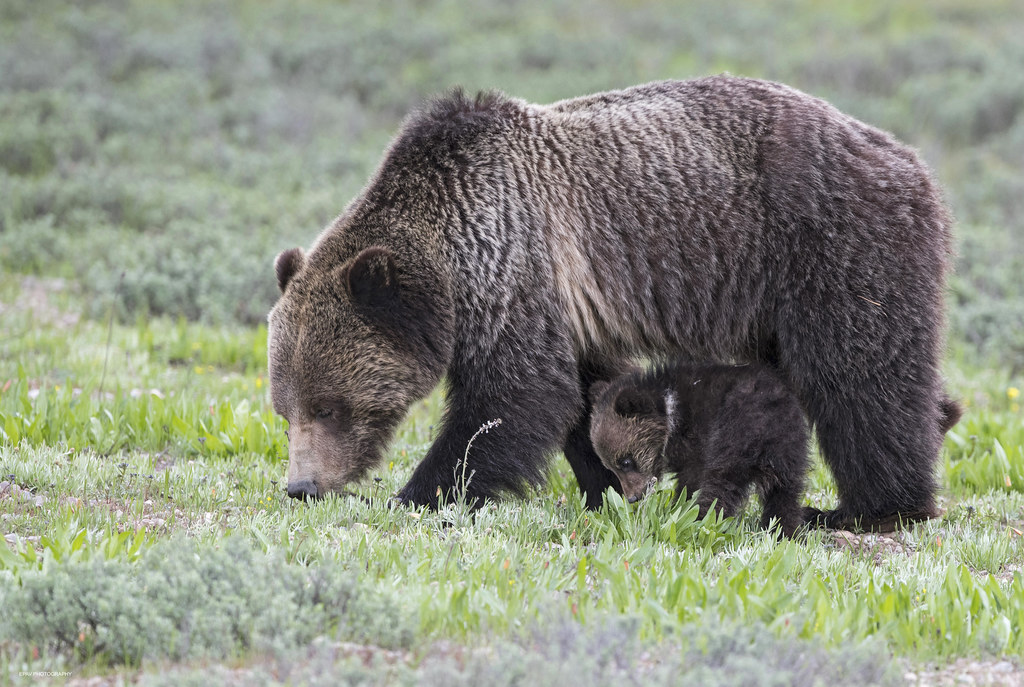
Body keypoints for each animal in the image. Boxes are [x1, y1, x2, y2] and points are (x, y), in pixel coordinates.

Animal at [588, 361, 810, 538]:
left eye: (625, 462)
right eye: (610, 467)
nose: (633, 497)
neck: (670, 415)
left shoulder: (697, 442)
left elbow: (691, 480)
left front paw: (679, 508)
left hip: (733, 435)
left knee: (721, 484)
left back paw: (703, 521)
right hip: (790, 449)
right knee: (785, 492)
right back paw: (785, 531)